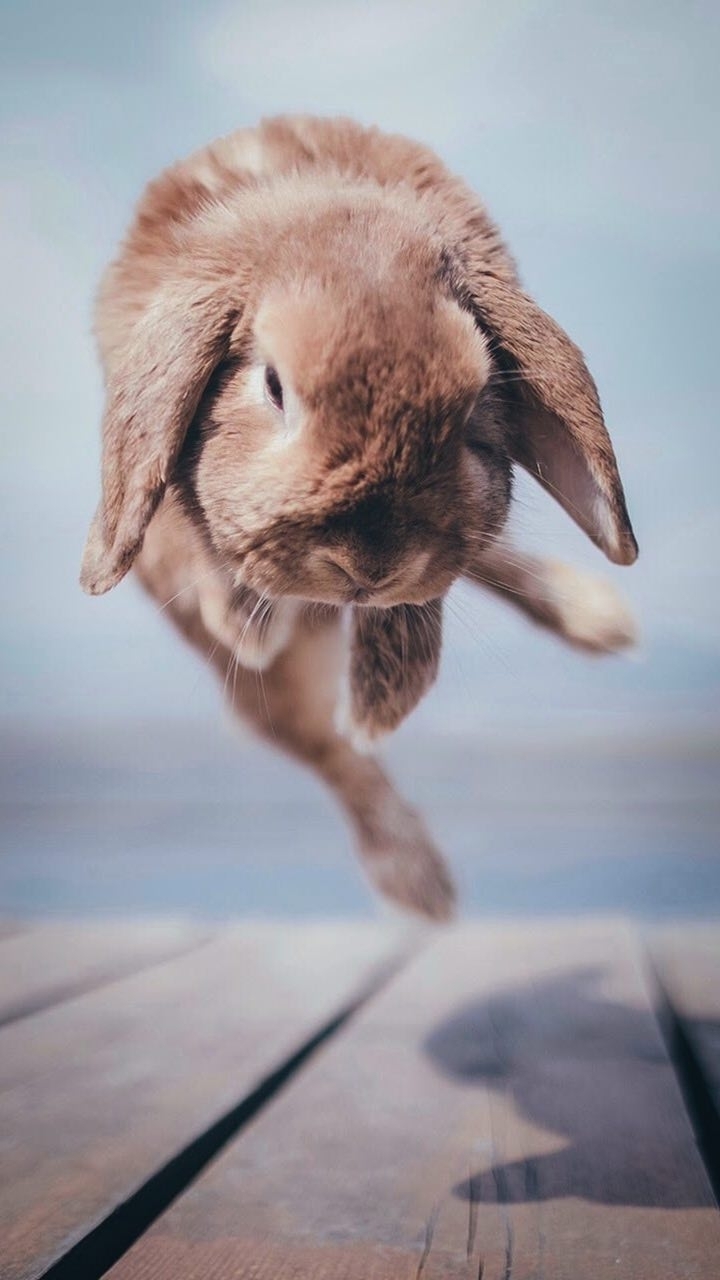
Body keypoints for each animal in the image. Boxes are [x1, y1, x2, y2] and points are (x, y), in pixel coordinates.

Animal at [80, 115, 638, 921]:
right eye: (274, 385)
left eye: (477, 400)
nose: (367, 564)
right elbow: (205, 545)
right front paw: (251, 619)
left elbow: (428, 590)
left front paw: (386, 694)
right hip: (272, 692)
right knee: (328, 753)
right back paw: (417, 881)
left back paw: (594, 614)